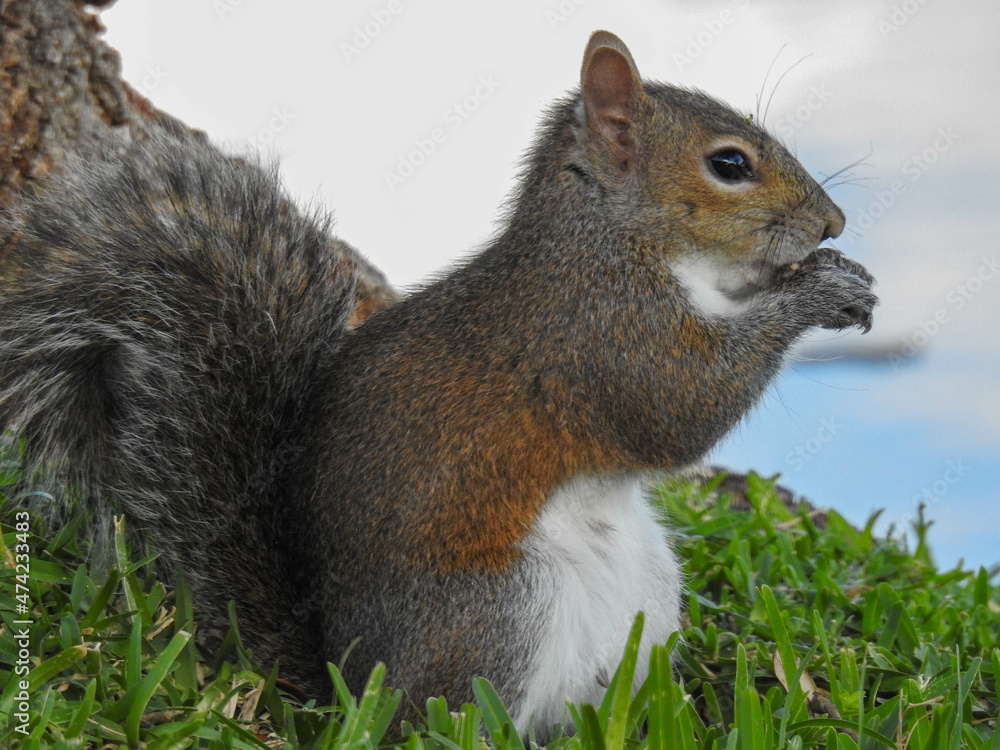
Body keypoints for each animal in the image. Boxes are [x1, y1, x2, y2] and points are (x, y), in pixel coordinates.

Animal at [0, 31, 876, 736]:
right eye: (729, 164)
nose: (832, 223)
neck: (615, 241)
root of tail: (348, 679)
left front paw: (843, 278)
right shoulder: (600, 337)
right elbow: (682, 411)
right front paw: (814, 294)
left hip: (645, 595)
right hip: (498, 609)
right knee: (445, 722)